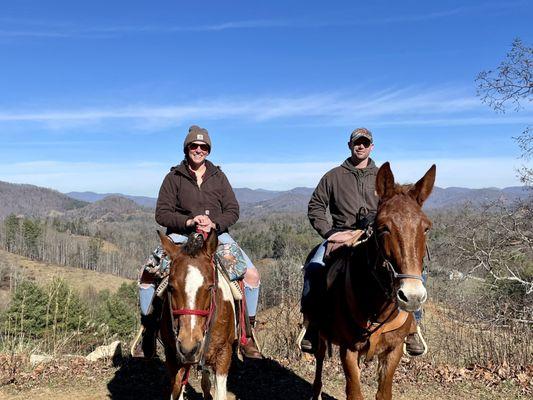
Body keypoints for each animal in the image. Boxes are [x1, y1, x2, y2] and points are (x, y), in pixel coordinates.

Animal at [310, 162, 434, 400]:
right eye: (383, 227)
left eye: (426, 228)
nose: (412, 296)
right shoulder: (348, 350)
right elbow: (354, 393)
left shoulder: (393, 351)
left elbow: (384, 393)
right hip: (320, 334)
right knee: (319, 361)